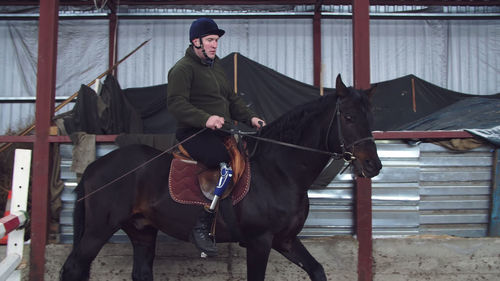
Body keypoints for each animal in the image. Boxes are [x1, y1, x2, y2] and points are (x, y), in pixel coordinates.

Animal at [60, 74, 380, 280]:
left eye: (370, 117)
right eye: (348, 117)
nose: (373, 165)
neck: (279, 171)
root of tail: (95, 166)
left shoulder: (285, 240)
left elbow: (317, 270)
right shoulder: (260, 241)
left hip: (142, 232)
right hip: (98, 230)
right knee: (73, 268)